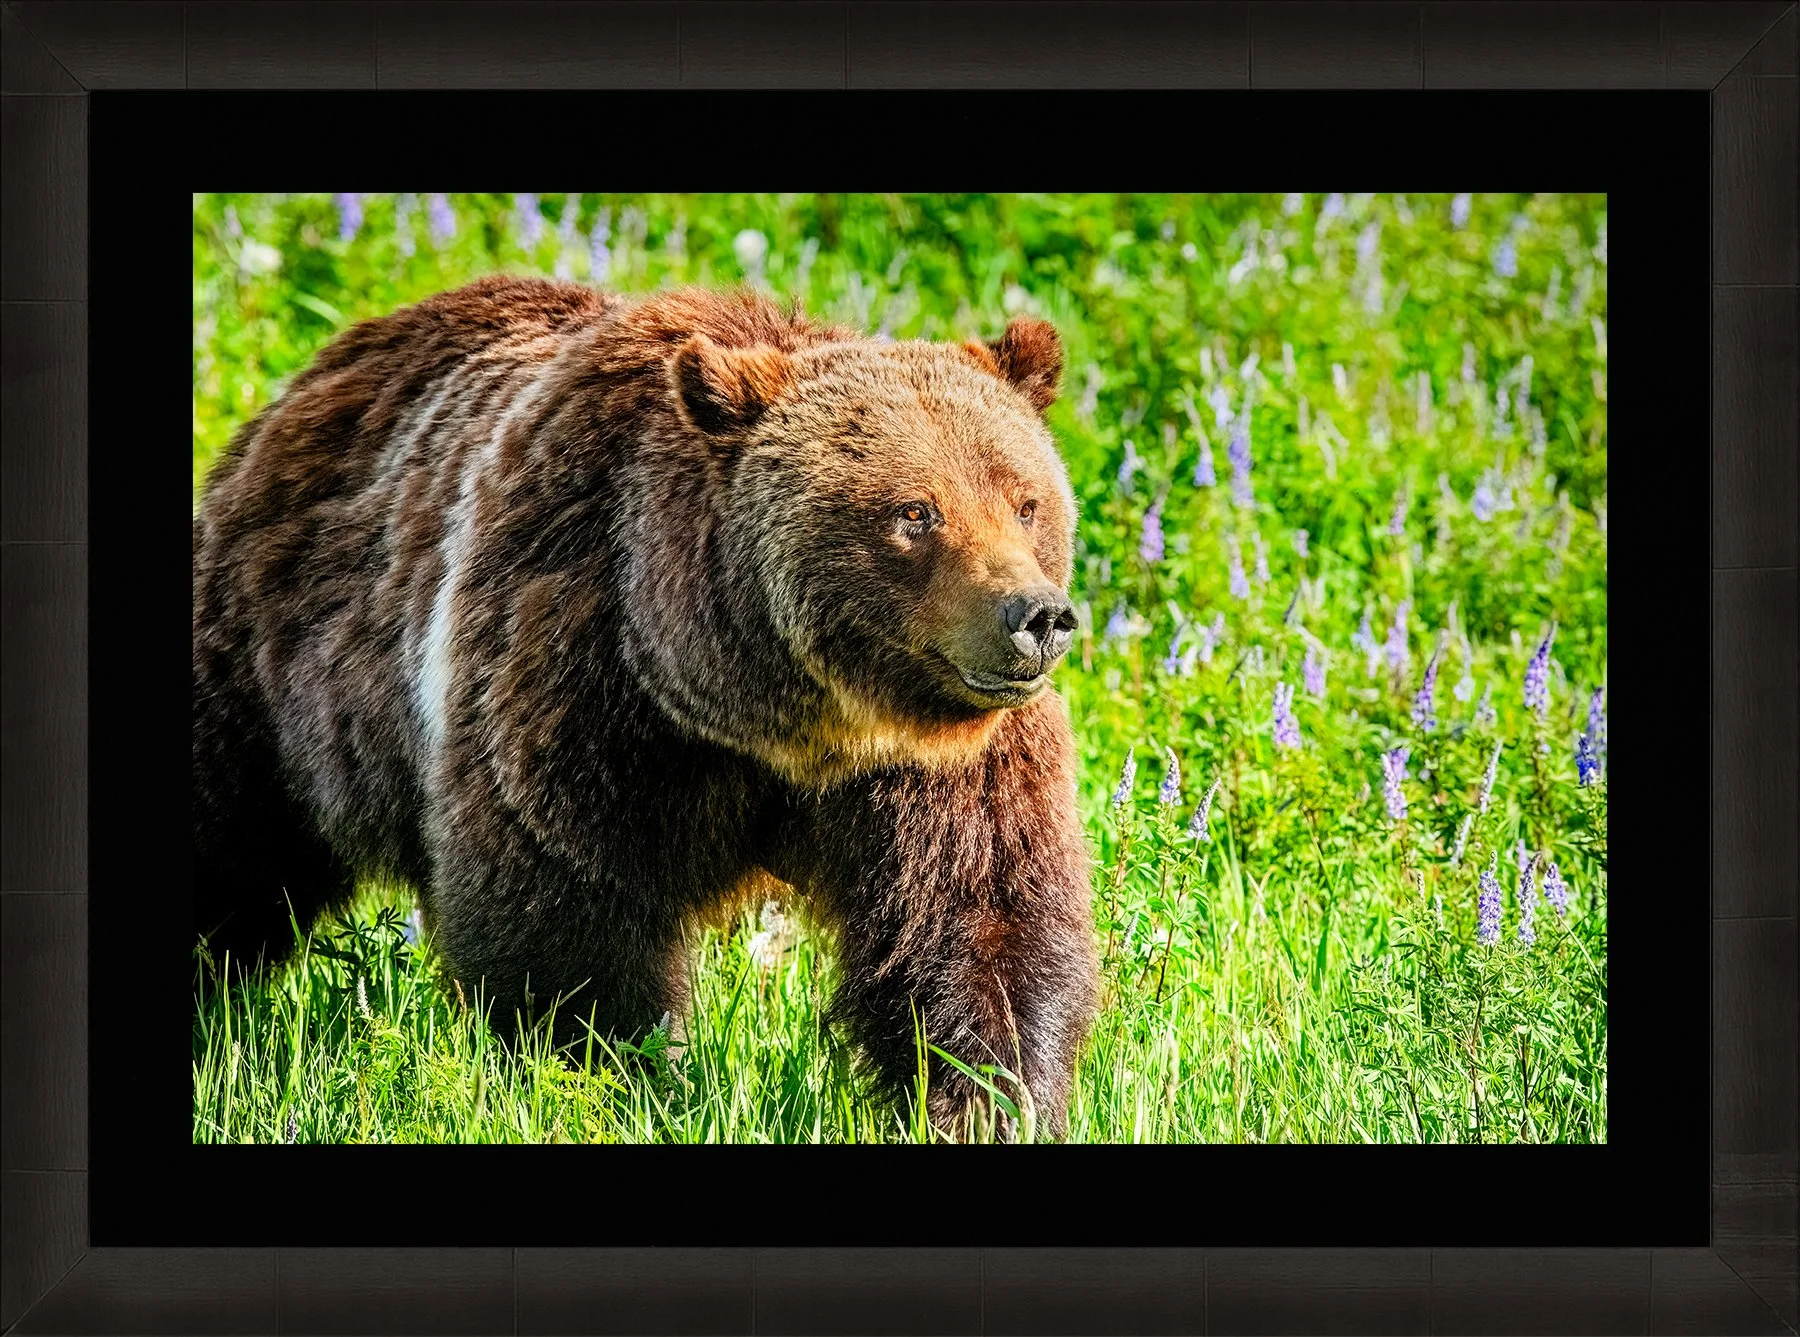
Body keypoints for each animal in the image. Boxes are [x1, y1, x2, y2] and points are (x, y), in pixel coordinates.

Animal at [193, 275, 1100, 1140]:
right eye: (915, 511)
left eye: (1025, 500)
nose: (1036, 615)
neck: (776, 715)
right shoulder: (585, 685)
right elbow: (569, 923)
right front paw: (616, 1080)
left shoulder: (941, 765)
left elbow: (979, 926)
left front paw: (990, 1101)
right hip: (274, 670)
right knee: (229, 841)